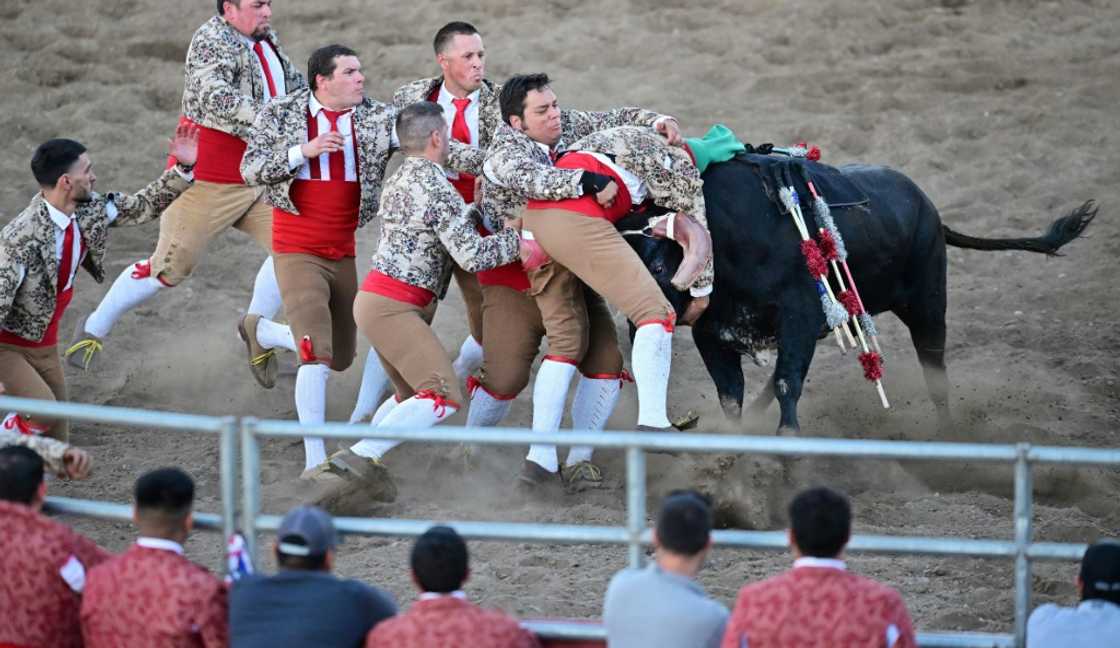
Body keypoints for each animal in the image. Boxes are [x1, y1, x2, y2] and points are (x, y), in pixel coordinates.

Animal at [613, 154, 1093, 434]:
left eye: (659, 266)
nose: (635, 322)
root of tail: (930, 210)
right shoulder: (714, 334)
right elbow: (732, 396)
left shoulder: (798, 320)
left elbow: (787, 383)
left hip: (928, 305)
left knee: (935, 372)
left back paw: (947, 435)